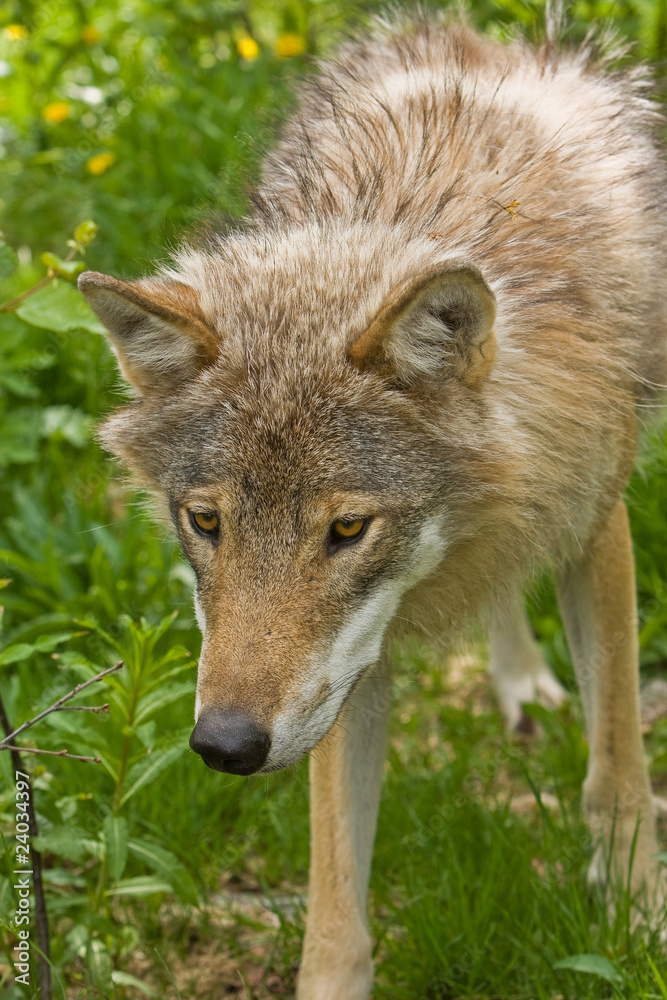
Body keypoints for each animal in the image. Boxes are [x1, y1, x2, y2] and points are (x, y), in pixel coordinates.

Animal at [79, 13, 667, 999]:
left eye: (346, 529)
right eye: (206, 522)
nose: (224, 745)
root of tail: (474, 35)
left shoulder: (594, 524)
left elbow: (617, 771)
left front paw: (637, 918)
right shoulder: (346, 670)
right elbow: (333, 903)